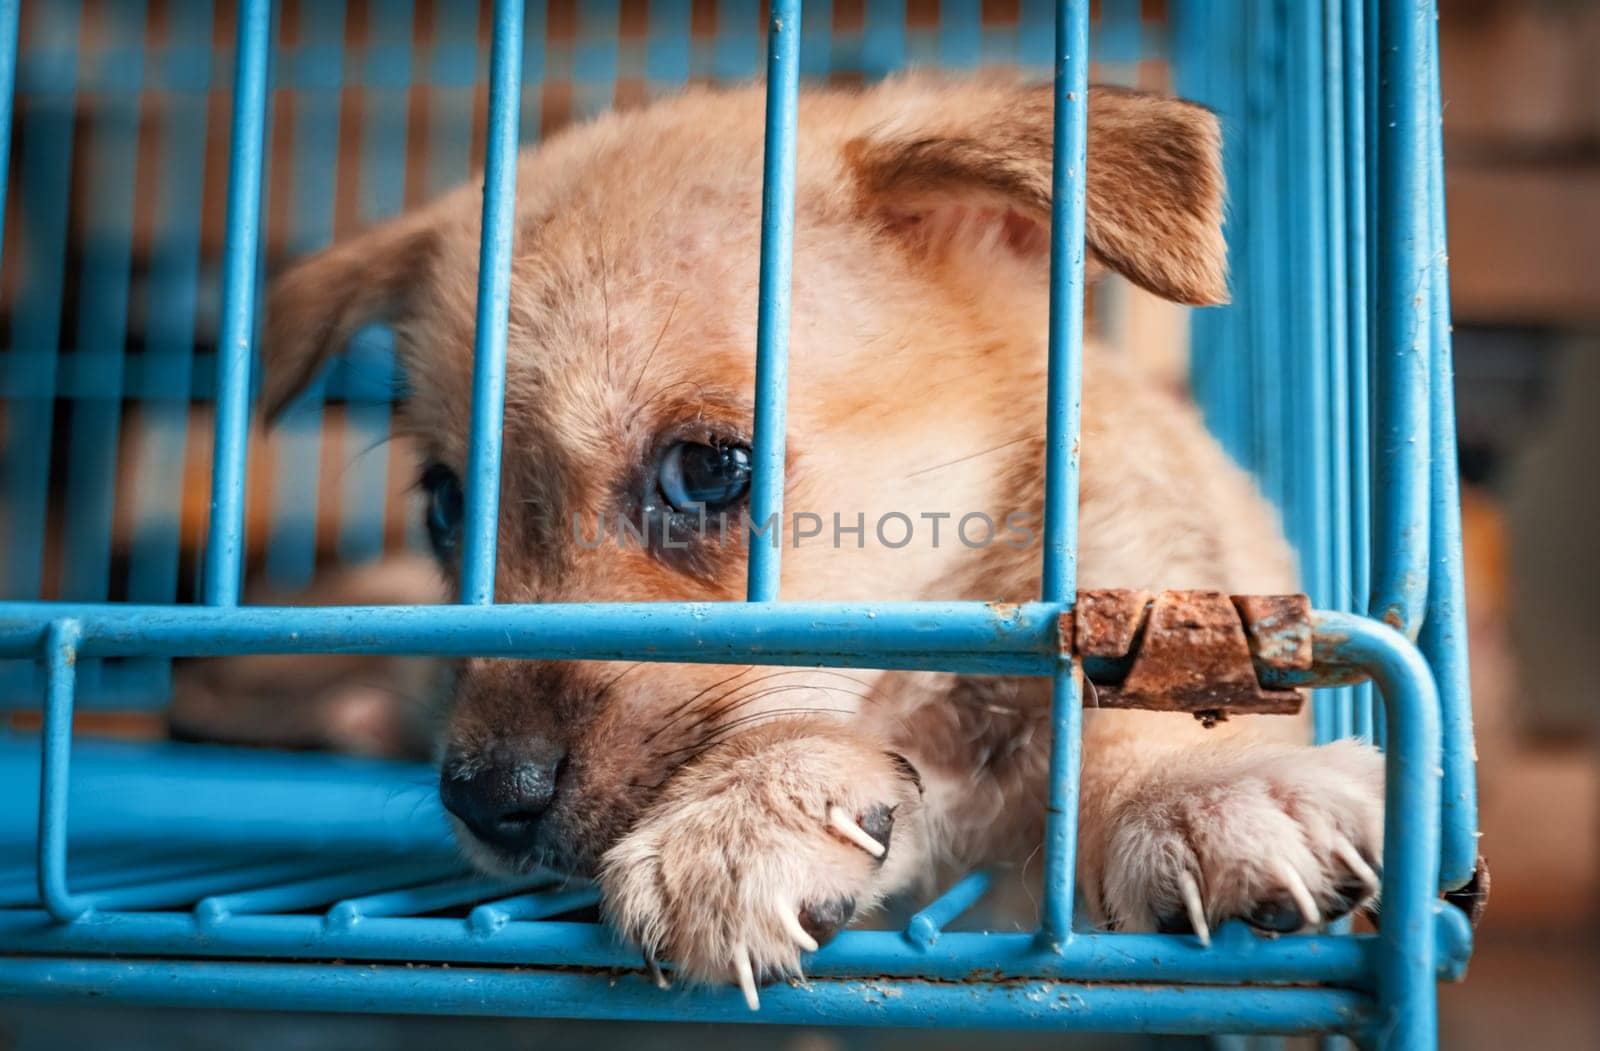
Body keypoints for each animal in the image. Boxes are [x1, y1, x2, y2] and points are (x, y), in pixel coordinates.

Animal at [256, 77, 1382, 998]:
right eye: (446, 505)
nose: (488, 800)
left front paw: (1196, 789)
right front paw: (752, 812)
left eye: (708, 468)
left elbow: (1138, 705)